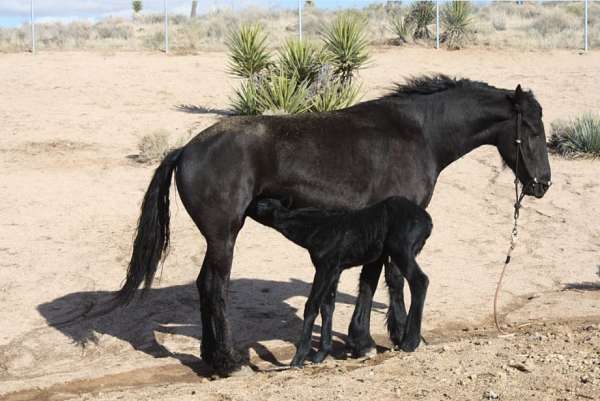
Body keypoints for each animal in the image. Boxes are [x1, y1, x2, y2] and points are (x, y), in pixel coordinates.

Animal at [246, 195, 434, 366]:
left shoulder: (325, 266)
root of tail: (427, 221)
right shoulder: (335, 270)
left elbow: (311, 306)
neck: (314, 229)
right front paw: (321, 354)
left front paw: (298, 359)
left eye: (261, 203)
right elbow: (327, 306)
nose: (246, 207)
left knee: (419, 281)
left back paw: (410, 342)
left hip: (401, 248)